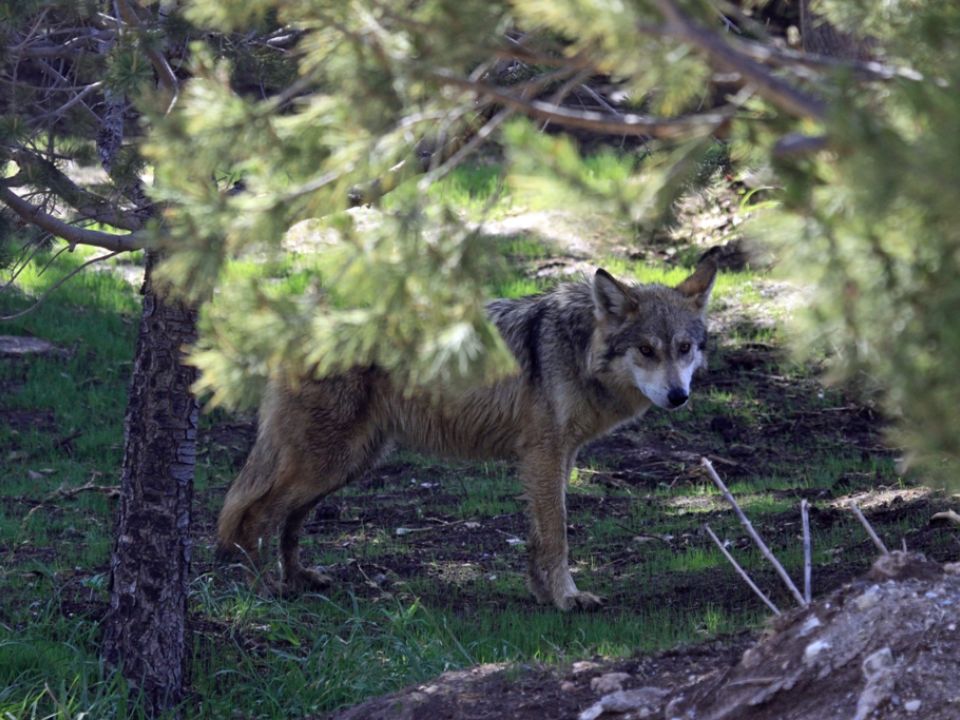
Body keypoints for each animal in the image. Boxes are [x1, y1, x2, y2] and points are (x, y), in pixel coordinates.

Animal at [216, 256, 712, 612]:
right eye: (645, 350)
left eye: (684, 348)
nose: (678, 396)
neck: (578, 350)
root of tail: (299, 325)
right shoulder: (544, 455)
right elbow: (557, 534)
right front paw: (566, 598)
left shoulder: (556, 457)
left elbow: (539, 536)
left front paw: (541, 593)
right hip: (326, 462)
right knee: (252, 517)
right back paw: (262, 591)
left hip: (345, 465)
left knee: (289, 522)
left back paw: (298, 580)